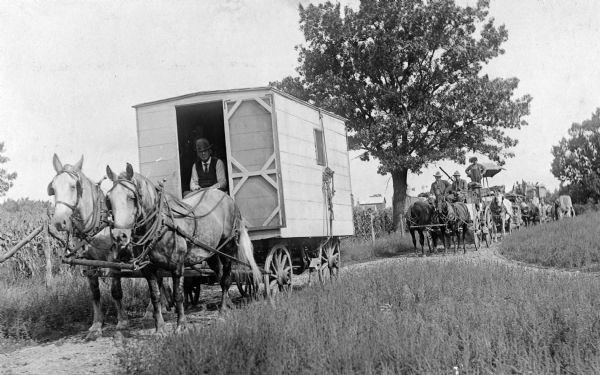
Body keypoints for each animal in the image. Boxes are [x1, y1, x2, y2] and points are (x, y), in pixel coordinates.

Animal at [105, 164, 260, 334]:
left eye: (131, 197)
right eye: (109, 199)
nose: (119, 236)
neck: (160, 225)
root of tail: (227, 198)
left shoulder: (177, 265)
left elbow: (178, 294)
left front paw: (181, 326)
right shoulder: (149, 269)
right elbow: (155, 296)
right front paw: (160, 329)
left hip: (228, 247)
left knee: (226, 279)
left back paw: (222, 312)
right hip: (211, 253)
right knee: (220, 276)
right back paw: (228, 306)